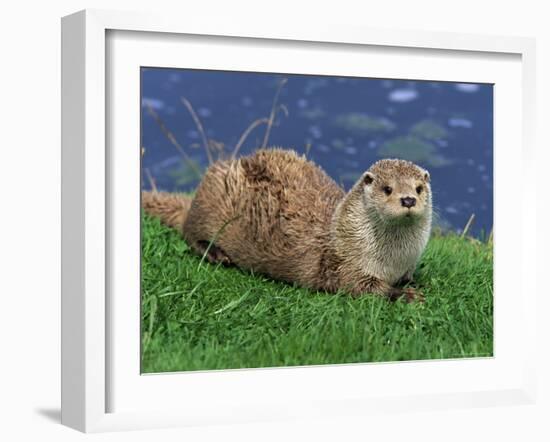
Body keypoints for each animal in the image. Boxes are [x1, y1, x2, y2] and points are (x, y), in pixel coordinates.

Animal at [143, 148, 436, 300]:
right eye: (387, 189)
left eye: (419, 188)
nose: (408, 199)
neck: (393, 260)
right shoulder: (345, 265)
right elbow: (362, 287)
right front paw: (405, 295)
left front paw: (413, 284)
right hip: (212, 198)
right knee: (189, 232)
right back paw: (216, 253)